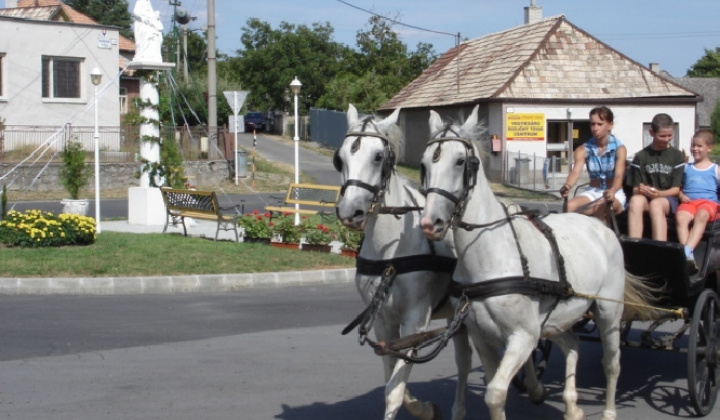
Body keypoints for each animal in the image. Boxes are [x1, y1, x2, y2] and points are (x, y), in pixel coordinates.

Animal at [336, 104, 472, 420]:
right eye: (341, 158)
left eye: (378, 156)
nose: (350, 212)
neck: (391, 254)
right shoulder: (383, 321)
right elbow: (393, 376)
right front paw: (424, 408)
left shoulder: (415, 320)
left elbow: (393, 392)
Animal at [420, 106, 656, 420]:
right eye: (424, 164)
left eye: (461, 162)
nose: (430, 223)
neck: (494, 254)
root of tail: (602, 227)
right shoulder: (483, 338)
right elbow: (493, 383)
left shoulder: (523, 337)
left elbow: (495, 393)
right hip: (556, 320)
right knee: (573, 343)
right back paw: (571, 405)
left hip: (607, 311)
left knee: (612, 362)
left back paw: (608, 411)